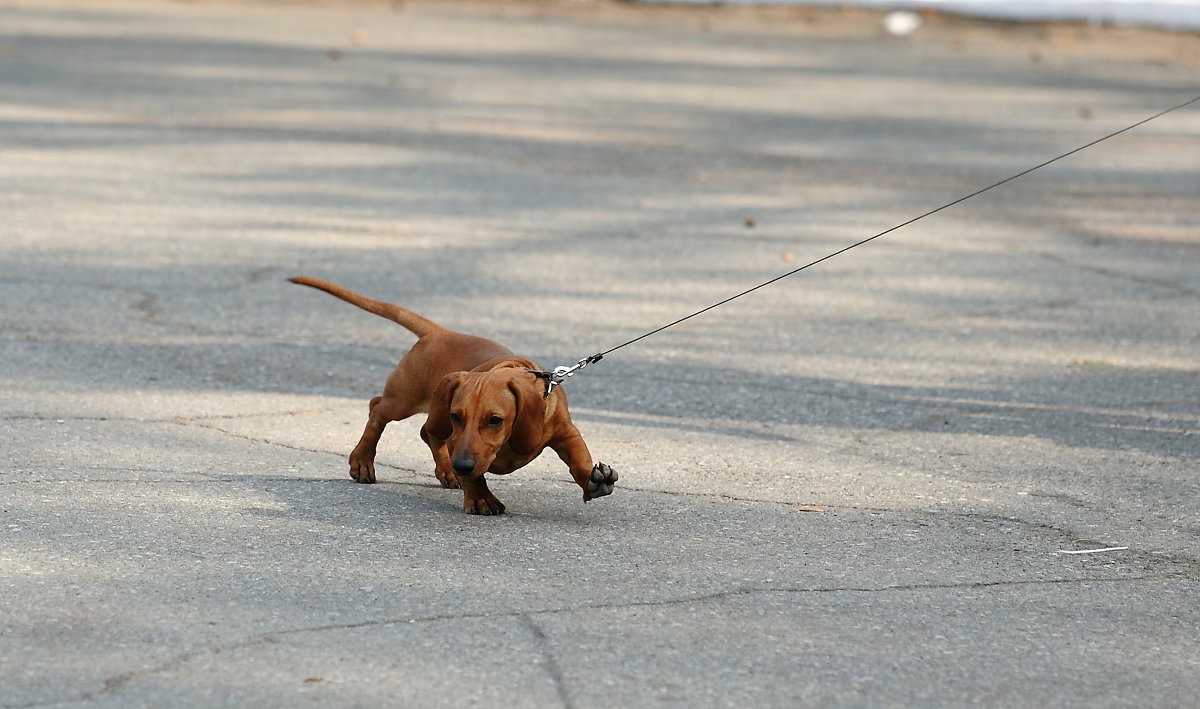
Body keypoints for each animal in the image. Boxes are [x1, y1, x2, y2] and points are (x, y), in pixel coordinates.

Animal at [289, 277, 619, 515]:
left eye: (495, 420)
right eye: (458, 416)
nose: (461, 466)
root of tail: (438, 332)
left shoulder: (565, 432)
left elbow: (579, 459)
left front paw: (594, 480)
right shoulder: (457, 438)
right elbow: (474, 474)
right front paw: (481, 498)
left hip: (429, 412)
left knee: (426, 431)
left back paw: (446, 471)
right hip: (405, 400)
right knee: (378, 409)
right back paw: (363, 461)